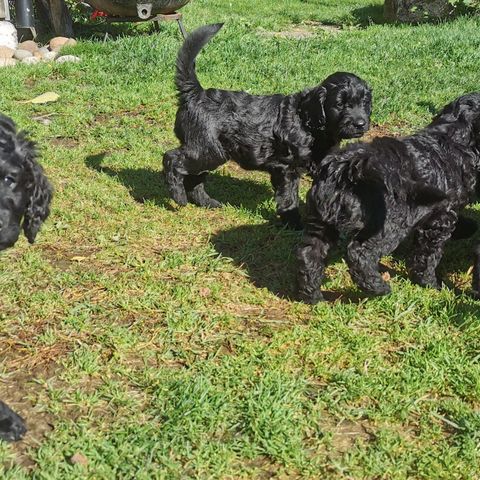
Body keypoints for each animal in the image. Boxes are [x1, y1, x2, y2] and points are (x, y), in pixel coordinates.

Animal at [163, 23, 374, 230]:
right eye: (339, 104)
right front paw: (294, 223)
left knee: (194, 177)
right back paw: (178, 196)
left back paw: (207, 202)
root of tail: (195, 93)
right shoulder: (286, 168)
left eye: (365, 102)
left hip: (210, 152)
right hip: (207, 149)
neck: (309, 122)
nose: (360, 123)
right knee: (172, 158)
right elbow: (289, 197)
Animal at [296, 93, 480, 304]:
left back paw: (312, 296)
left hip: (320, 218)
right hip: (390, 224)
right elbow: (427, 256)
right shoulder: (440, 218)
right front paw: (431, 284)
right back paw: (379, 288)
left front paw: (468, 227)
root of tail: (346, 167)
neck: (453, 135)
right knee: (360, 253)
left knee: (310, 253)